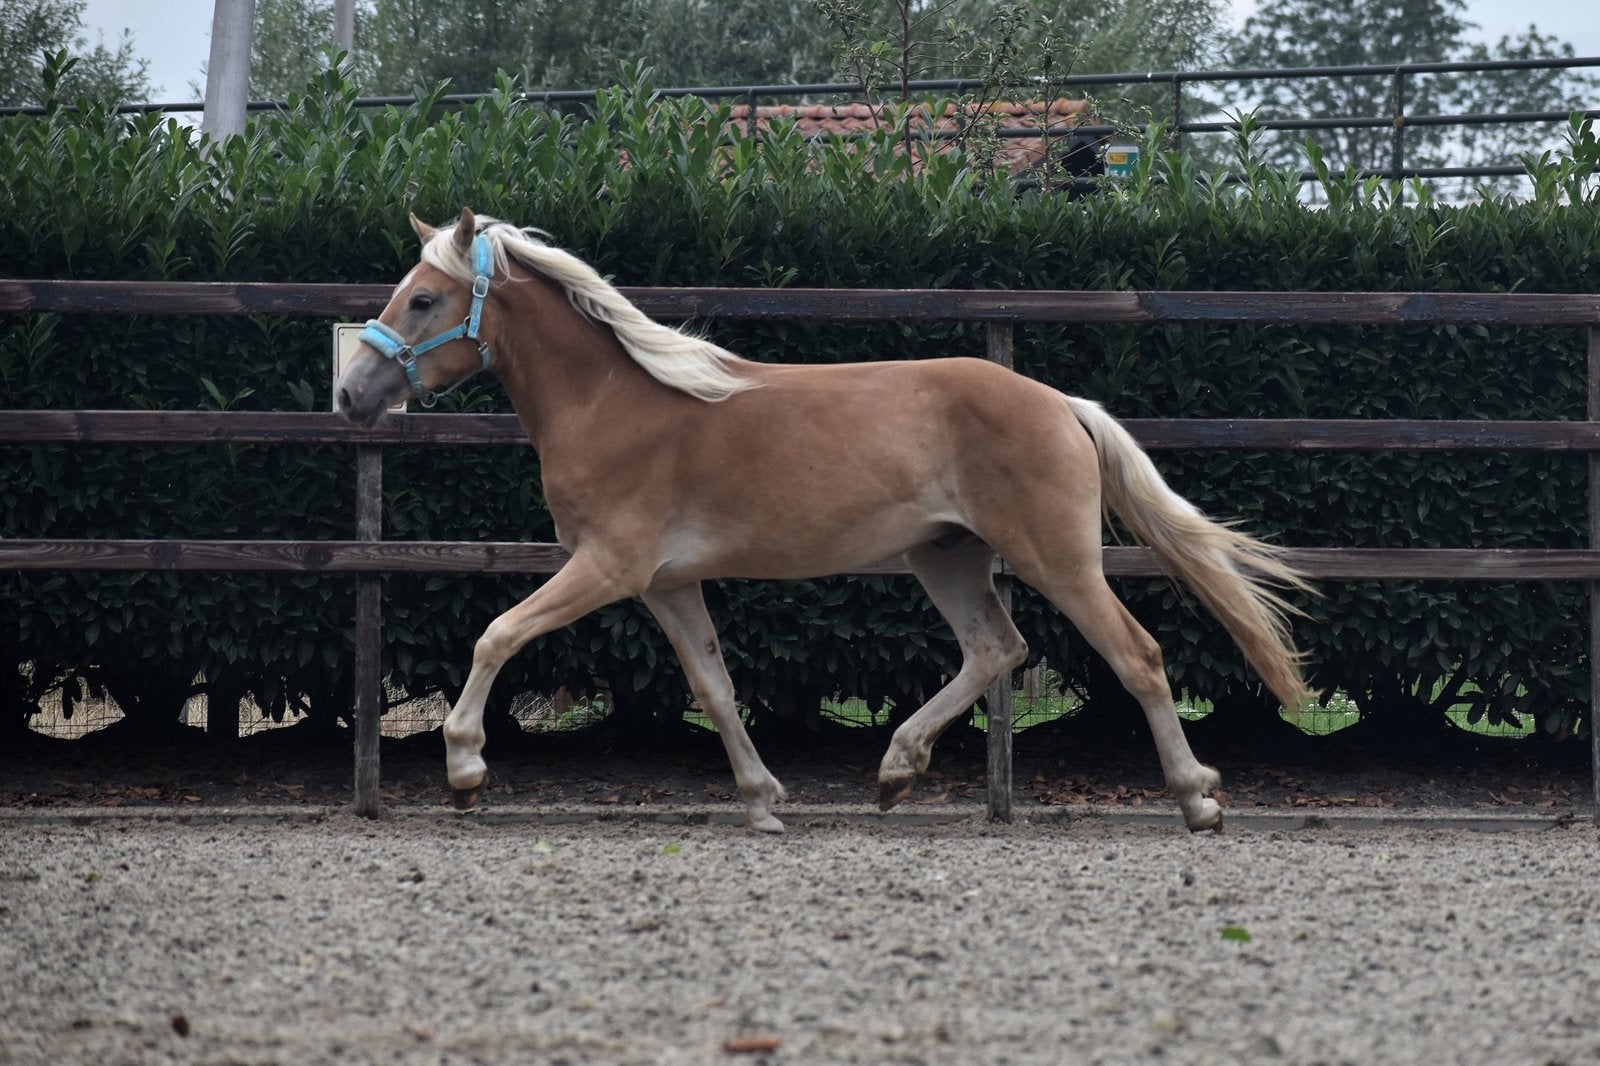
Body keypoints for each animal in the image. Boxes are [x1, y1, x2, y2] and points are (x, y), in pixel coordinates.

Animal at [335, 208, 1313, 833]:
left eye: (422, 299)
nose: (352, 395)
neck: (613, 401)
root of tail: (1061, 403)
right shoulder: (668, 585)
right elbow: (715, 686)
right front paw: (764, 801)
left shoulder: (608, 567)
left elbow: (497, 635)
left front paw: (465, 771)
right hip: (946, 558)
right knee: (996, 649)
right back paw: (894, 773)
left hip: (1056, 558)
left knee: (1135, 656)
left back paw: (1197, 799)